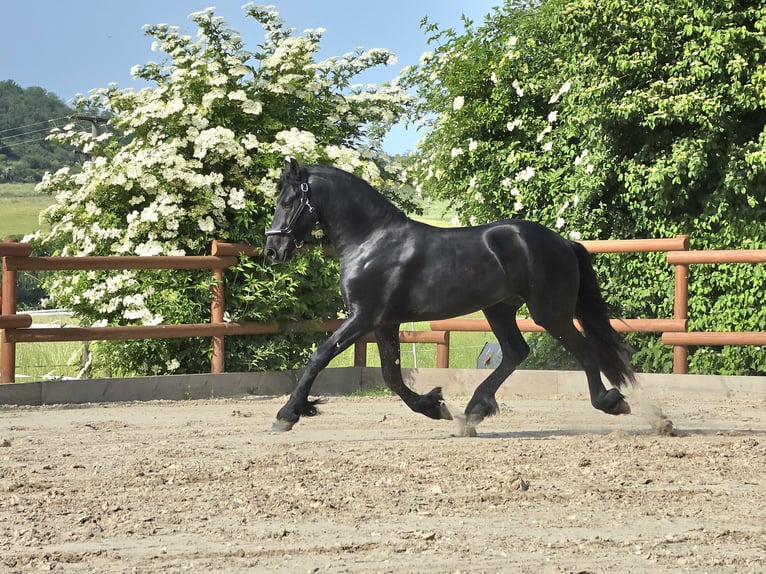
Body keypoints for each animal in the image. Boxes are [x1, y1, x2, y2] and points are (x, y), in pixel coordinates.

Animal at [265, 158, 635, 433]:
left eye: (288, 202)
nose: (272, 250)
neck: (371, 239)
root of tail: (563, 243)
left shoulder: (364, 316)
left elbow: (320, 355)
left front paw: (287, 414)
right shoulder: (385, 323)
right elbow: (391, 375)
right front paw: (434, 406)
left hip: (549, 312)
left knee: (583, 349)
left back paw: (610, 402)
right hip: (499, 309)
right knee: (516, 352)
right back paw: (474, 411)